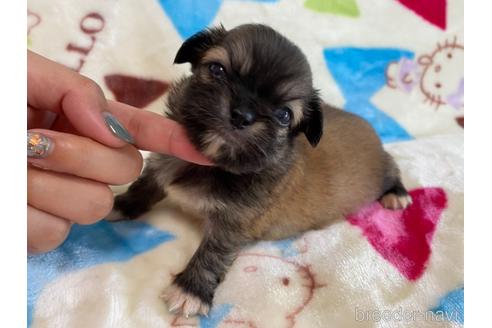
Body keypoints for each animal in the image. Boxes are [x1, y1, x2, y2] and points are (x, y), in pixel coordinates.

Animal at [107, 24, 412, 316]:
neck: (212, 163)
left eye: (284, 115)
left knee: (393, 168)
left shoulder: (233, 223)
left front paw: (190, 290)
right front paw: (121, 205)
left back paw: (397, 194)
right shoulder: (164, 163)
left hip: (380, 173)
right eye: (217, 70)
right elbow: (145, 186)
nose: (242, 115)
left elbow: (212, 253)